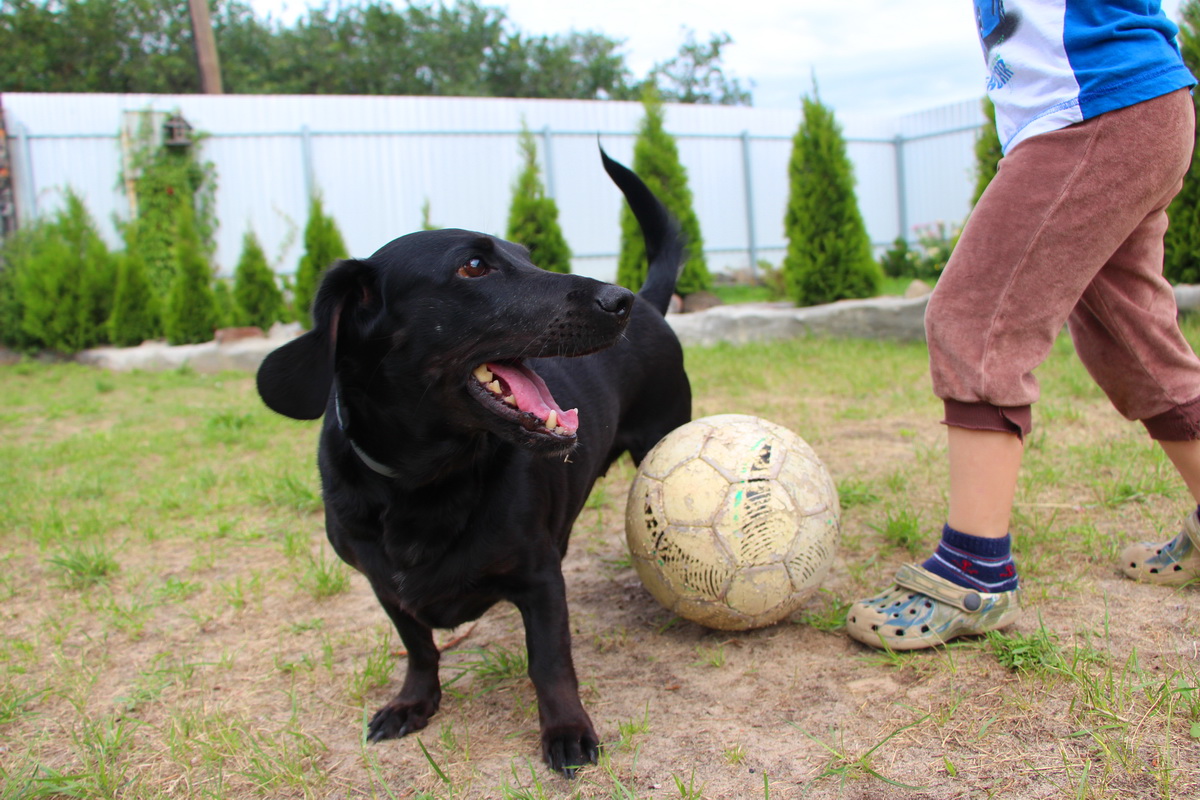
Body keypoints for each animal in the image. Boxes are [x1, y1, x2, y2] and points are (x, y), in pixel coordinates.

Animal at [260, 149, 696, 777]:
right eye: (473, 267)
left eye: (528, 256)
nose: (619, 301)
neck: (425, 484)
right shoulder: (385, 588)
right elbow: (419, 647)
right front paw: (413, 702)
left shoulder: (540, 580)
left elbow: (550, 662)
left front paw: (566, 730)